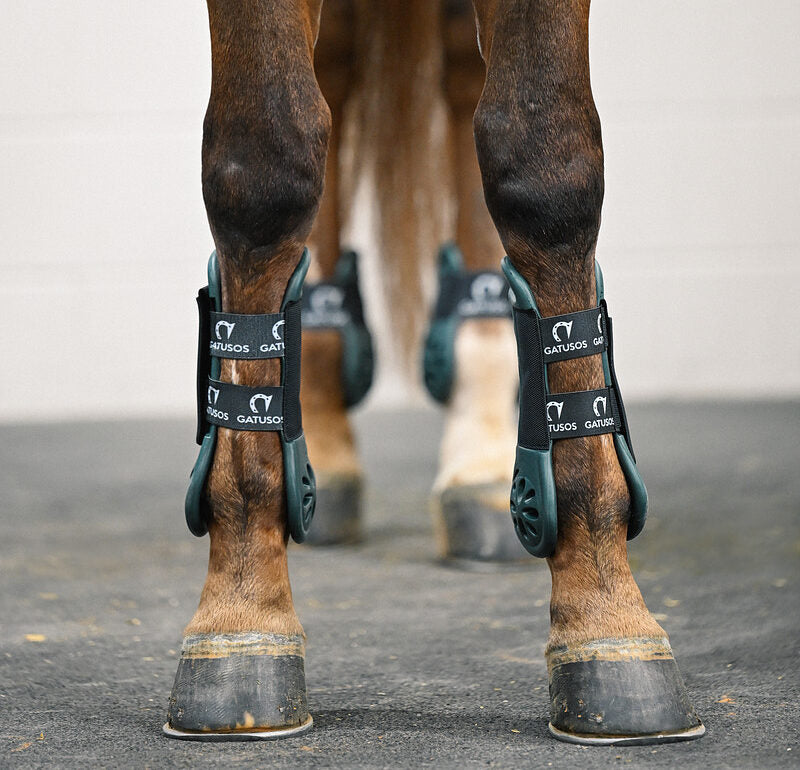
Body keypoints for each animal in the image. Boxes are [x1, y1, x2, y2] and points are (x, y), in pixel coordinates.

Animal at [163, 0, 704, 745]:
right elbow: (268, 163)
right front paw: (241, 617)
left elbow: (544, 167)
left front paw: (609, 621)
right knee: (334, 76)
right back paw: (323, 445)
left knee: (465, 79)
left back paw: (482, 463)